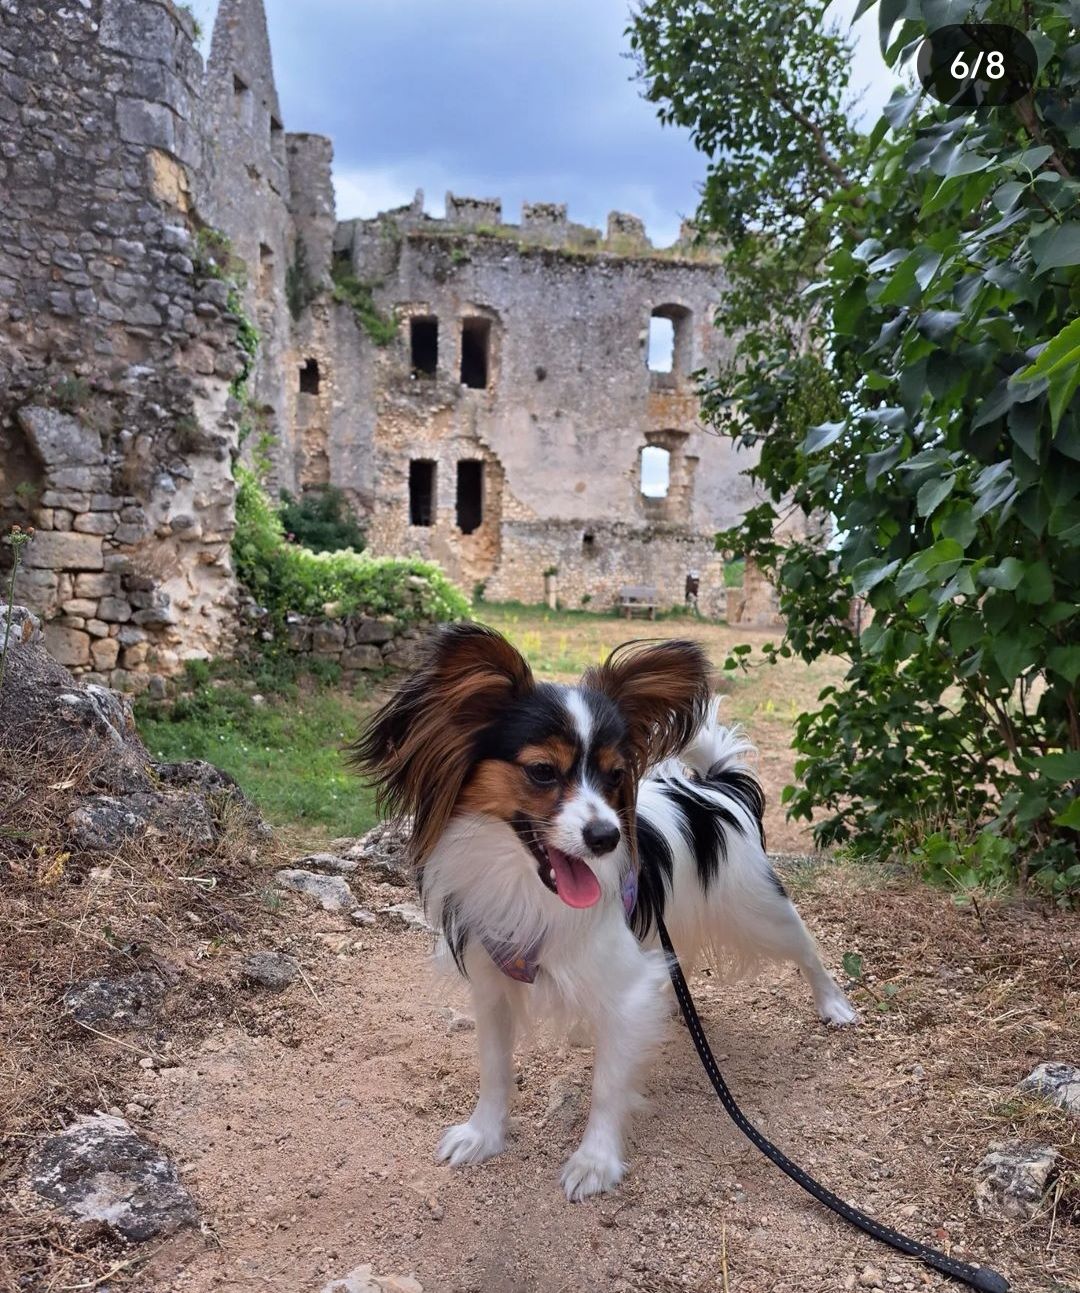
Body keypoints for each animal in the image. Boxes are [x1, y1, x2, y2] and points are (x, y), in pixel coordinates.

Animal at [351, 623, 858, 1199]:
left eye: (616, 776)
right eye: (542, 772)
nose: (606, 836)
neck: (527, 885)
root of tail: (714, 789)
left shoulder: (624, 988)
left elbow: (608, 1084)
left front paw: (595, 1161)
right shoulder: (493, 984)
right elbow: (494, 1068)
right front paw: (484, 1135)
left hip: (757, 911)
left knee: (805, 946)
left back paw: (834, 1005)